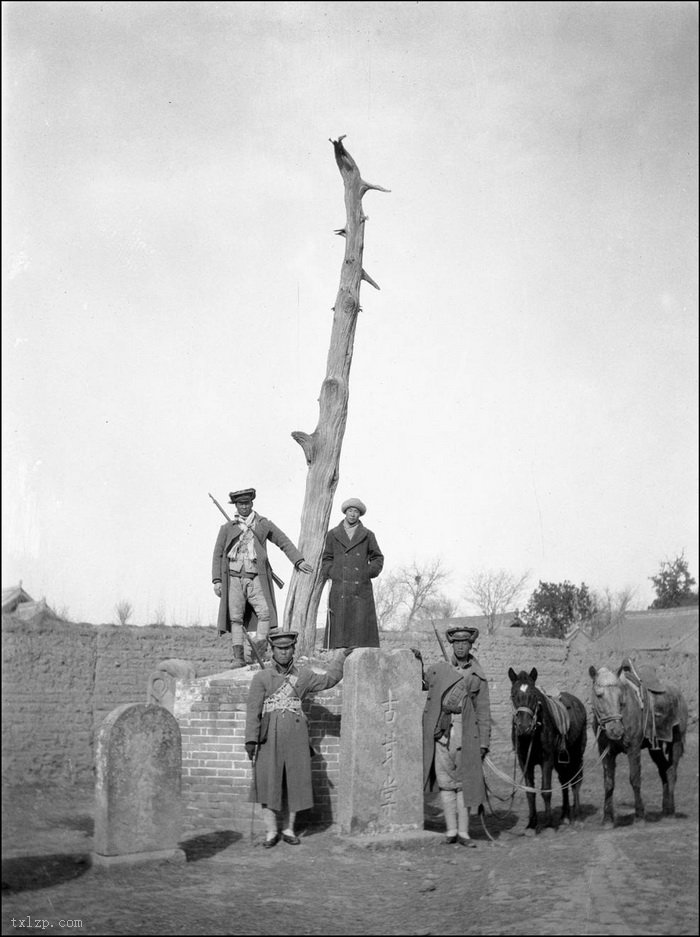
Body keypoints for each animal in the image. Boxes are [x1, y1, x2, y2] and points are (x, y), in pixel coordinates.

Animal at [506, 668, 588, 828]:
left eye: (534, 695)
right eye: (513, 695)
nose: (524, 727)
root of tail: (578, 703)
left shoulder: (547, 759)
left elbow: (546, 790)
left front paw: (548, 823)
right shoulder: (524, 761)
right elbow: (530, 791)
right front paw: (532, 823)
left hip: (576, 754)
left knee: (576, 781)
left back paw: (578, 816)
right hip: (561, 759)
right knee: (564, 781)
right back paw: (565, 816)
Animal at [584, 660, 688, 824]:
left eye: (620, 696)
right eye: (599, 695)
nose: (616, 730)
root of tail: (678, 693)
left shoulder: (633, 748)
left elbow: (635, 779)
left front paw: (639, 815)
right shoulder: (605, 751)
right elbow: (608, 783)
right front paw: (607, 819)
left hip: (676, 742)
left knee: (672, 771)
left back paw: (671, 811)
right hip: (655, 747)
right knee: (664, 769)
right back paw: (665, 809)